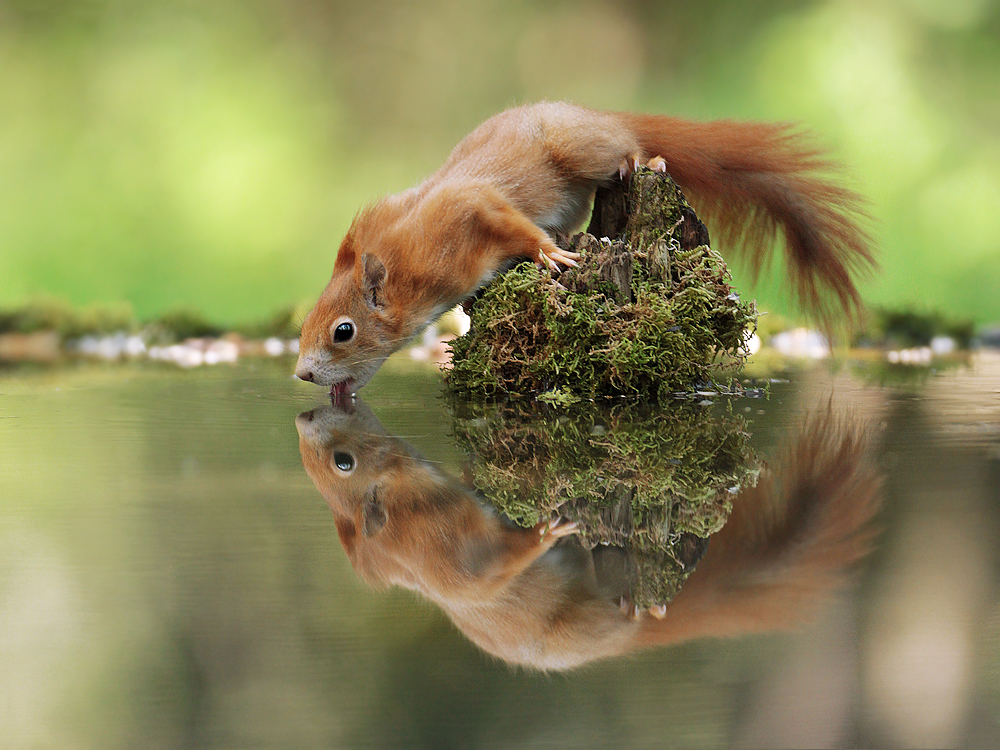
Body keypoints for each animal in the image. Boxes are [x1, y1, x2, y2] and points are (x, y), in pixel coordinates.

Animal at [292, 103, 872, 396]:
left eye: (343, 331)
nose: (302, 374)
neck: (409, 266)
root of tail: (593, 113)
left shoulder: (470, 208)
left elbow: (511, 222)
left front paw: (550, 256)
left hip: (580, 148)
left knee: (627, 149)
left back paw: (645, 160)